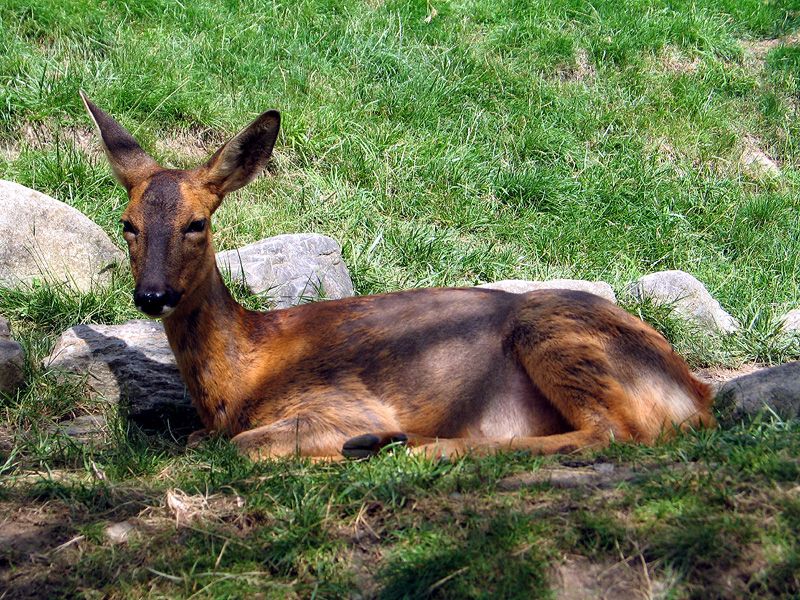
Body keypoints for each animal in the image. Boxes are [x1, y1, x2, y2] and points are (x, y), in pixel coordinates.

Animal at [81, 91, 716, 462]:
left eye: (198, 223)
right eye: (127, 223)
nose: (153, 294)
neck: (242, 374)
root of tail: (696, 393)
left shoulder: (338, 401)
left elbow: (241, 446)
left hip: (556, 333)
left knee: (615, 432)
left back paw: (401, 447)